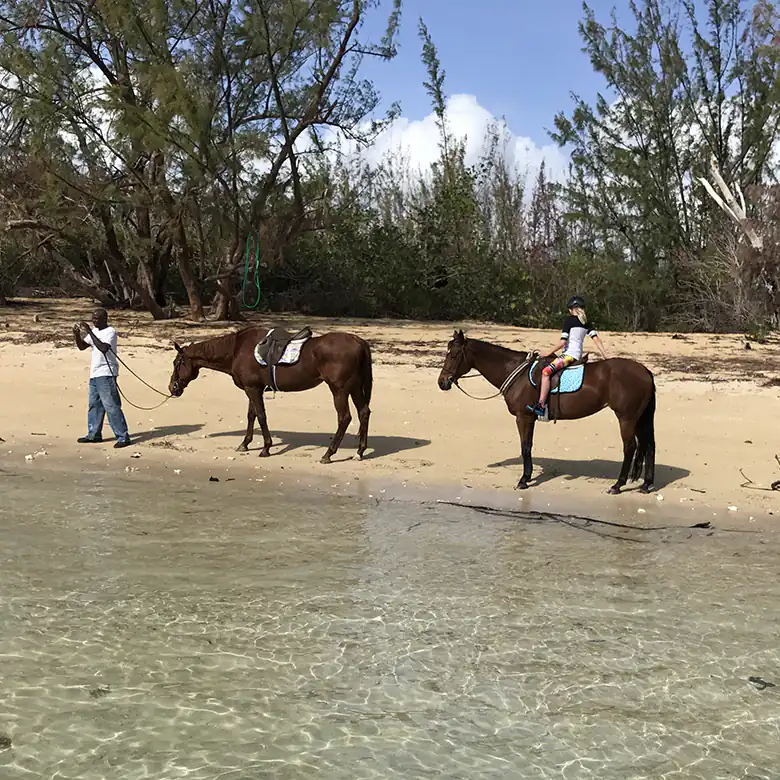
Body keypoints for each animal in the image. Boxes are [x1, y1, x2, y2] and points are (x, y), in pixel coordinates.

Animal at [169, 326, 373, 463]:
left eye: (177, 363)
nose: (172, 387)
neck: (237, 350)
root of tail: (359, 341)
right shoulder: (253, 388)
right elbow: (251, 415)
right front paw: (245, 443)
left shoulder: (252, 389)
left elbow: (260, 416)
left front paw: (266, 448)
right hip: (354, 388)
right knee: (363, 413)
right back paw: (359, 452)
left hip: (339, 389)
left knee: (344, 418)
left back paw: (328, 454)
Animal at [437, 330, 656, 493]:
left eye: (453, 354)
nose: (442, 382)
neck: (517, 373)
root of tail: (645, 371)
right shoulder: (530, 419)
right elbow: (528, 446)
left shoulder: (523, 417)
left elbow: (525, 447)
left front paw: (524, 480)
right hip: (640, 418)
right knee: (649, 445)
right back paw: (646, 484)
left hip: (627, 418)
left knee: (630, 447)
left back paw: (618, 485)